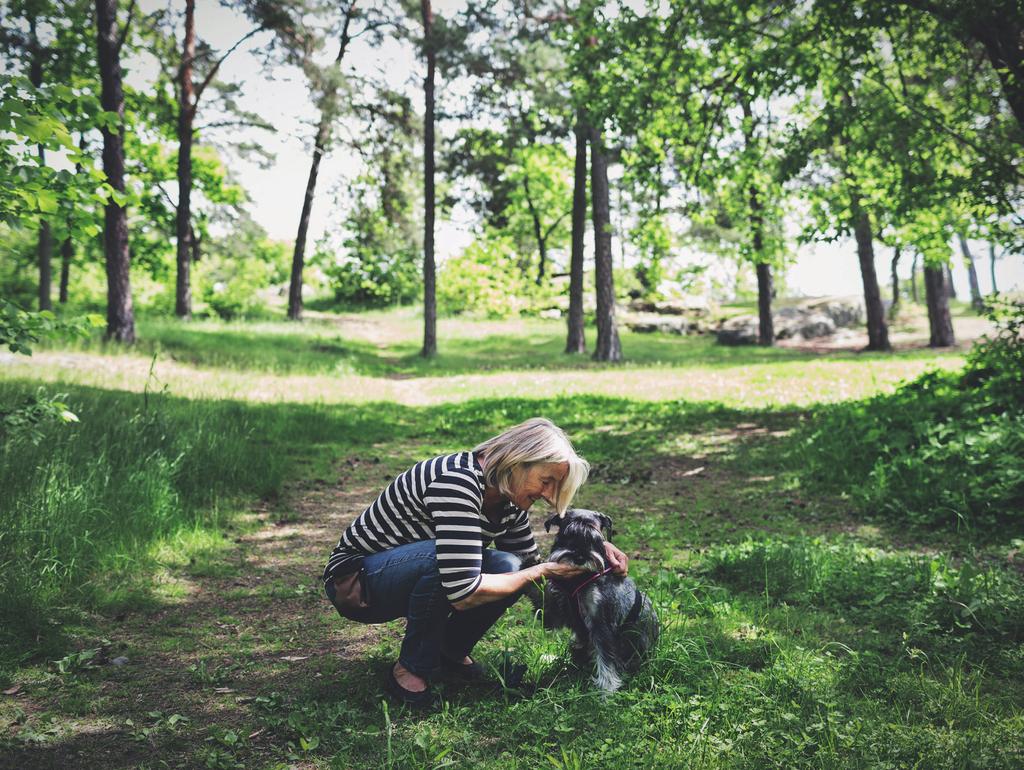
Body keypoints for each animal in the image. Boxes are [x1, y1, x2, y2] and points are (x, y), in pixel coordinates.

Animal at [532, 511, 659, 692]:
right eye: (567, 535)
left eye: (596, 539)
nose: (579, 558)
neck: (580, 579)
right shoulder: (558, 613)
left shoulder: (602, 623)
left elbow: (606, 659)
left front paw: (607, 689)